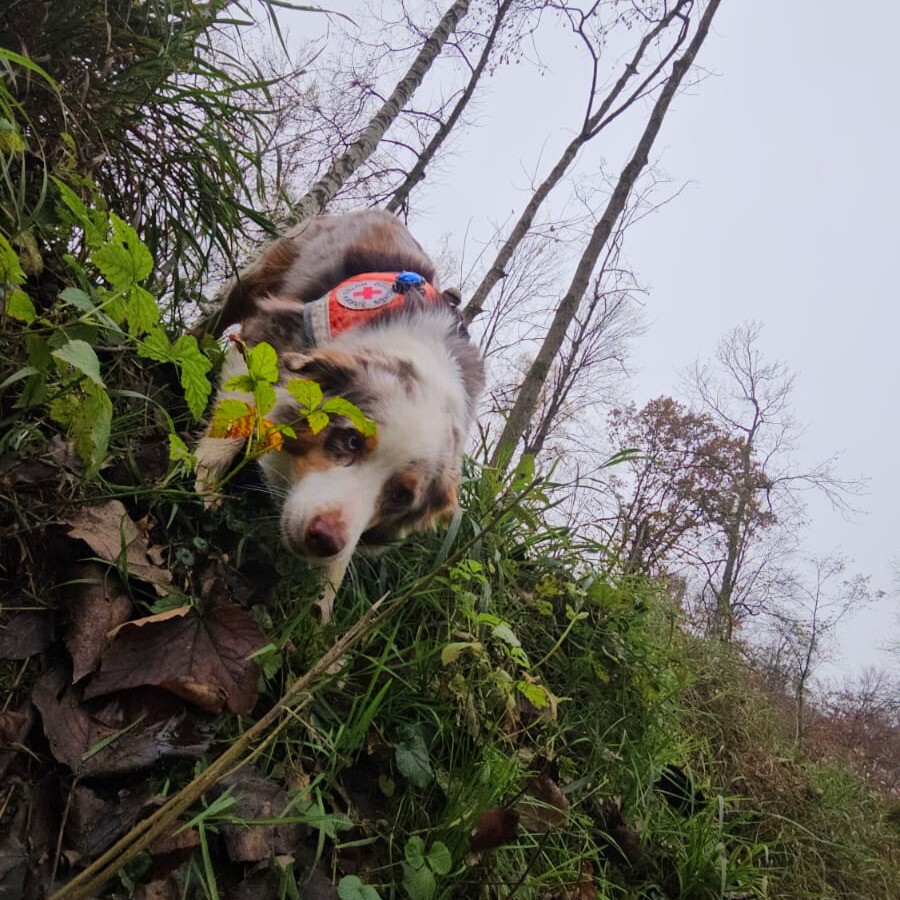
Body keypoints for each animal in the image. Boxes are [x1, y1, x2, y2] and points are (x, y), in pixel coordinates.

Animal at [196, 211, 486, 620]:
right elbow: (241, 411)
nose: (324, 539)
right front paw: (204, 484)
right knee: (221, 313)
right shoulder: (277, 331)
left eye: (400, 495)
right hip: (269, 267)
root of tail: (387, 216)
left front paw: (319, 609)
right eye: (351, 440)